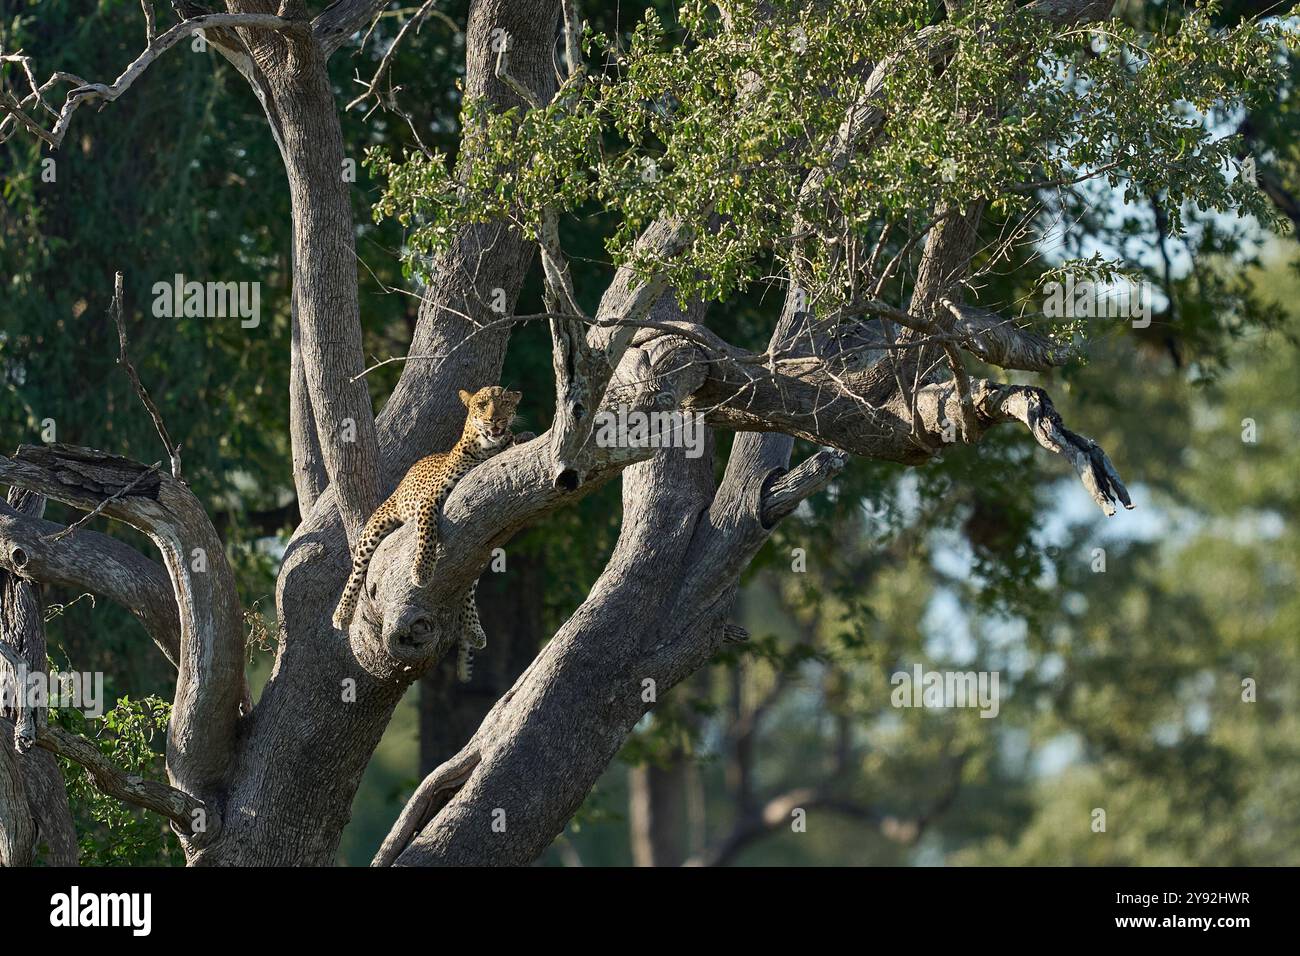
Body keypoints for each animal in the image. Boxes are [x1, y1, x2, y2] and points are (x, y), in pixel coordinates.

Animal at [331, 386, 525, 681]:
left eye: (504, 403)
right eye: (482, 405)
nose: (495, 420)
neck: (485, 450)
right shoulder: (429, 501)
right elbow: (427, 533)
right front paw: (421, 572)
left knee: (469, 582)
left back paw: (474, 630)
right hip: (375, 527)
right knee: (356, 570)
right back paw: (341, 614)